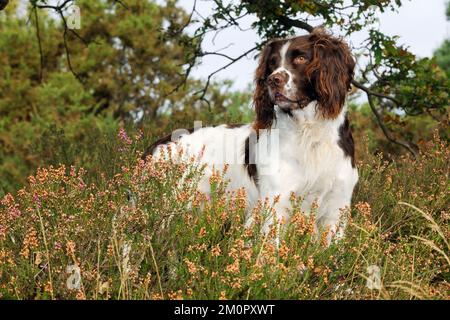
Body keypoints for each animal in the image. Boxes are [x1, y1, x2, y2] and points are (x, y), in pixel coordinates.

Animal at [144, 29, 358, 245]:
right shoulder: (276, 204)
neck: (310, 134)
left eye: (301, 58)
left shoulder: (336, 209)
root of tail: (157, 145)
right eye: (272, 63)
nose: (273, 80)